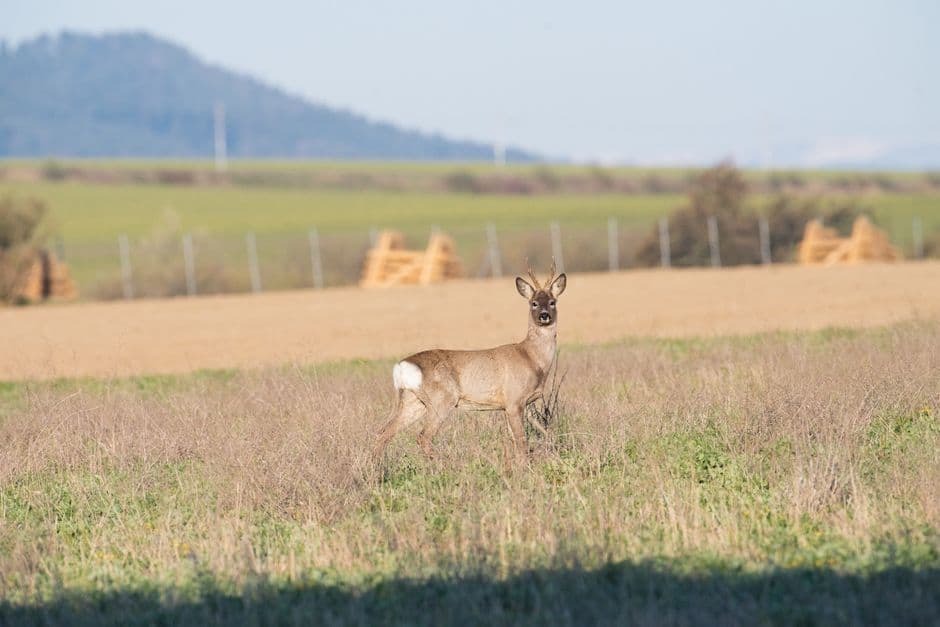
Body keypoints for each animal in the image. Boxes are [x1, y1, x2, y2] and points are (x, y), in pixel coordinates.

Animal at [371, 261, 566, 463]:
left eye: (552, 302)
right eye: (533, 303)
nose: (544, 315)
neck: (532, 357)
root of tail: (402, 366)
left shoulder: (512, 405)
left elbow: (524, 437)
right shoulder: (514, 400)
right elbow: (521, 443)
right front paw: (524, 467)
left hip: (414, 401)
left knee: (383, 432)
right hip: (442, 399)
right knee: (423, 436)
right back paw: (443, 464)